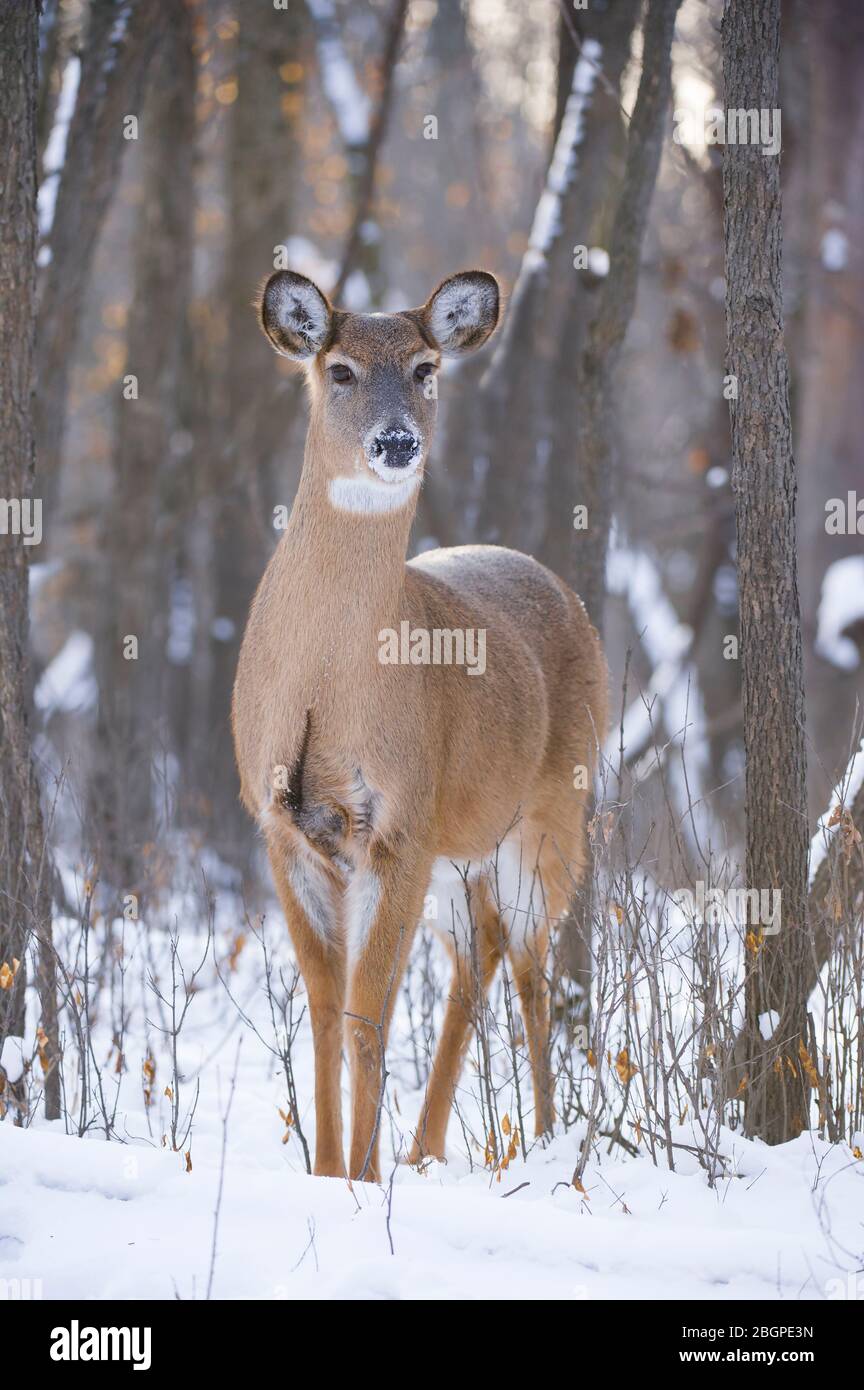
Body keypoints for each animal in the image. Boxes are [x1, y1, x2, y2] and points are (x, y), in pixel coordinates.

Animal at [231, 271, 608, 1184]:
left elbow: (369, 1012)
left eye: (426, 367)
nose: (398, 441)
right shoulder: (283, 830)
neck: (326, 686)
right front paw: (331, 1170)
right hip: (458, 854)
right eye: (339, 369)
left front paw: (360, 1181)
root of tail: (564, 591)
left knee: (531, 965)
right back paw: (426, 1149)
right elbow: (325, 1009)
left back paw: (544, 1142)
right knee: (478, 960)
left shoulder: (399, 821)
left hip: (551, 816)